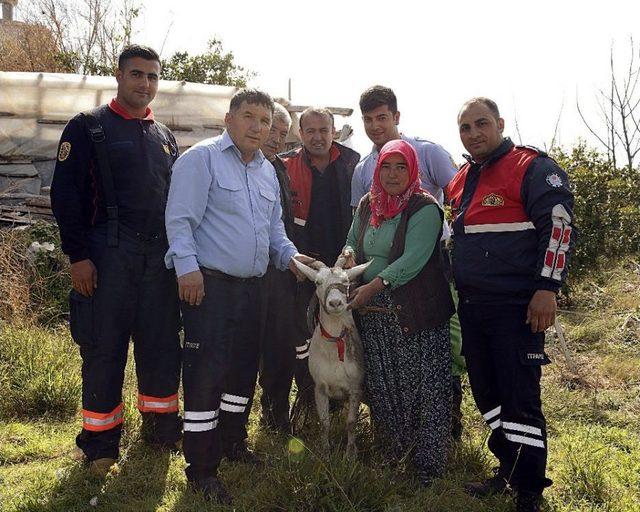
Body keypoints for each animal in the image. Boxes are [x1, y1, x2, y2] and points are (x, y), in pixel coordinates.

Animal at [292, 253, 370, 456]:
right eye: (318, 282)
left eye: (346, 281)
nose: (335, 303)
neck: (335, 348)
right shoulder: (319, 387)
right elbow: (324, 422)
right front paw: (325, 452)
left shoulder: (356, 388)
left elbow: (351, 422)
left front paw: (350, 454)